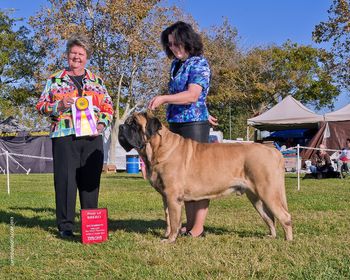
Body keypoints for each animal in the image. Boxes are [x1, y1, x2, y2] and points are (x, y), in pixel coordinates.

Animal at [117, 112, 292, 243]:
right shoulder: (165, 197)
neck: (157, 148)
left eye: (134, 124)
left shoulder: (173, 197)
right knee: (270, 217)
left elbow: (173, 220)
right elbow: (168, 218)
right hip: (255, 197)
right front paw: (167, 235)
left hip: (268, 191)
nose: (120, 126)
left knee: (285, 216)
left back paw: (288, 241)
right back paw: (271, 236)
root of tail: (273, 151)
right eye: (127, 122)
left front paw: (170, 239)